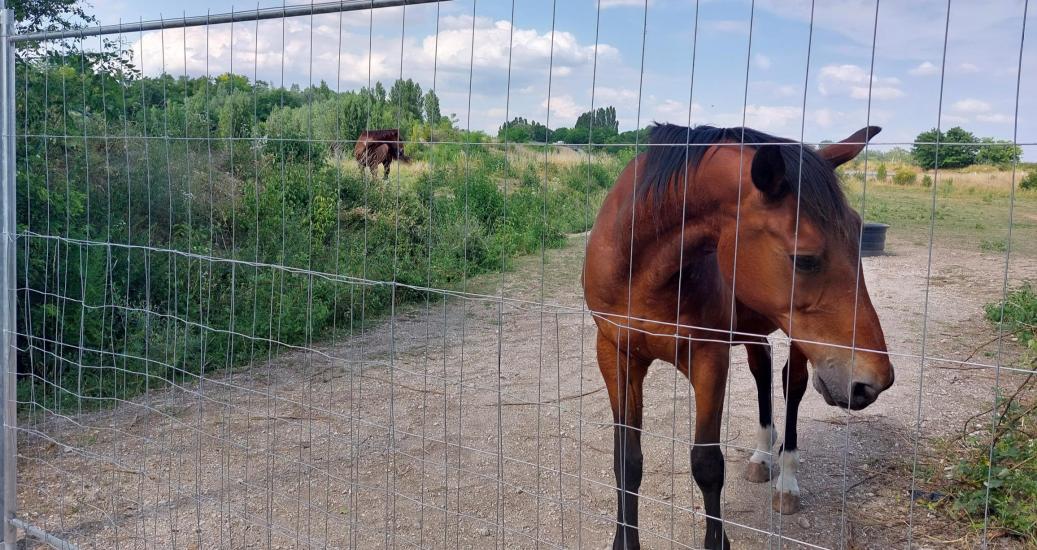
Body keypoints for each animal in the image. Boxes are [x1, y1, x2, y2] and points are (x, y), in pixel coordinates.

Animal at [584, 124, 891, 547]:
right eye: (803, 258)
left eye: (861, 233)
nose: (875, 380)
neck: (639, 269)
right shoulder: (615, 354)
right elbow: (627, 461)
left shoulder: (709, 358)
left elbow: (707, 463)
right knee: (762, 368)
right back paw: (763, 456)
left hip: (798, 341)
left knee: (792, 386)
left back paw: (786, 482)